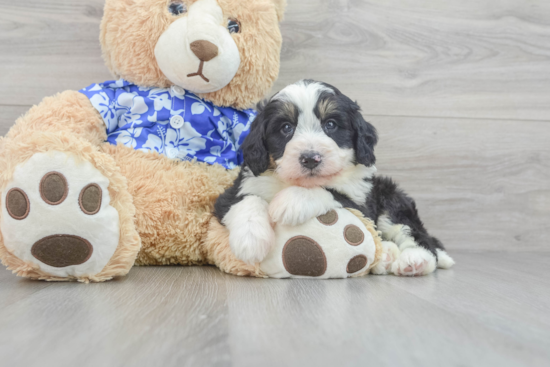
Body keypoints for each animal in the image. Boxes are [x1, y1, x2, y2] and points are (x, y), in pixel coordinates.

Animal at [216, 80, 458, 276]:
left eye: (330, 125)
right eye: (286, 128)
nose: (310, 158)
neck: (293, 181)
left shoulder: (361, 204)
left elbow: (330, 191)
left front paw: (289, 202)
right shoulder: (236, 190)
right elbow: (247, 200)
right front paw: (250, 240)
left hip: (392, 202)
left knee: (417, 236)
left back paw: (414, 261)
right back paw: (386, 257)